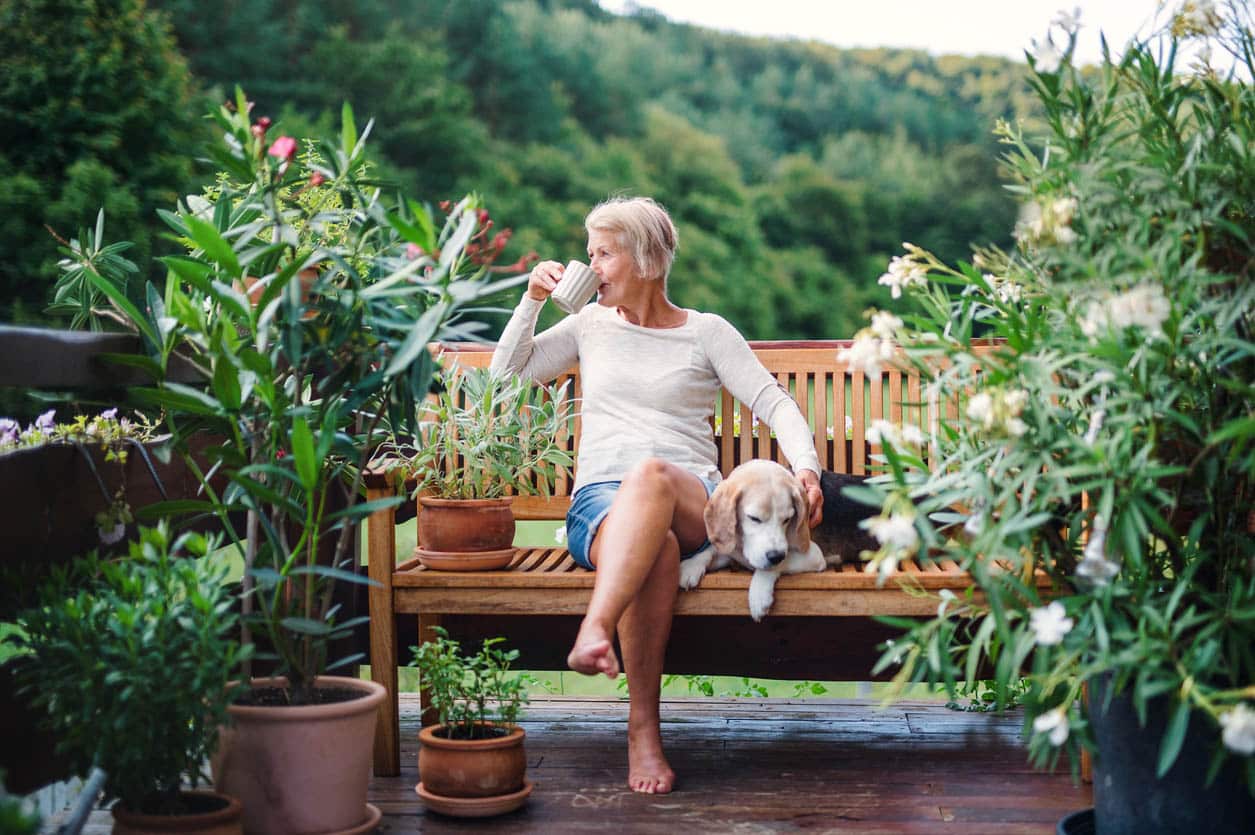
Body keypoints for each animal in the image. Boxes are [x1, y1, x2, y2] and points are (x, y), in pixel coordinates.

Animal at [682, 462, 878, 617]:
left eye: (787, 519)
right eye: (754, 518)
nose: (775, 555)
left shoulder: (813, 555)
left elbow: (777, 564)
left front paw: (759, 594)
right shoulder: (735, 552)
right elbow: (712, 550)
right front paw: (691, 566)